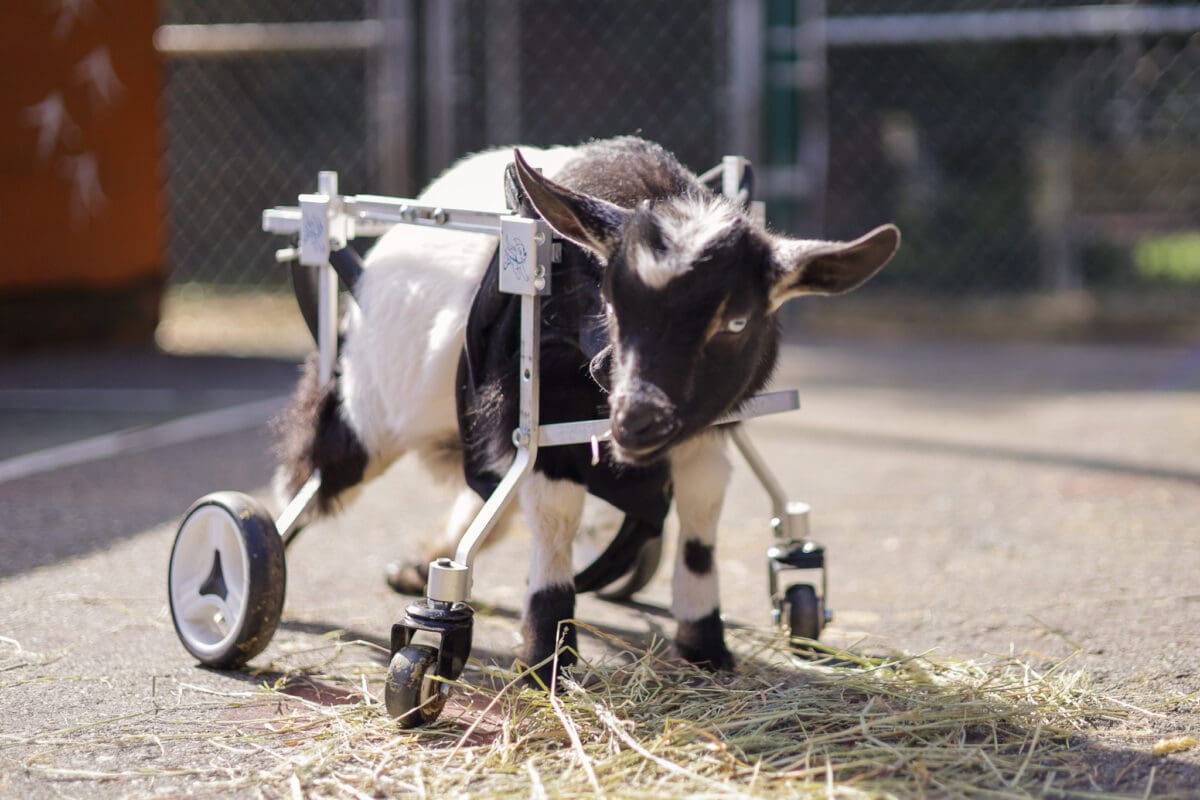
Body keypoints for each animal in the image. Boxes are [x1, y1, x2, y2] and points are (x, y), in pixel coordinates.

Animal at [275, 136, 899, 682]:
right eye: (611, 302)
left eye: (736, 321)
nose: (636, 418)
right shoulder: (540, 416)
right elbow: (556, 514)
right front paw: (546, 658)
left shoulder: (707, 428)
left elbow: (702, 509)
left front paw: (706, 643)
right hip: (371, 406)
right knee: (318, 471)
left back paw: (424, 560)